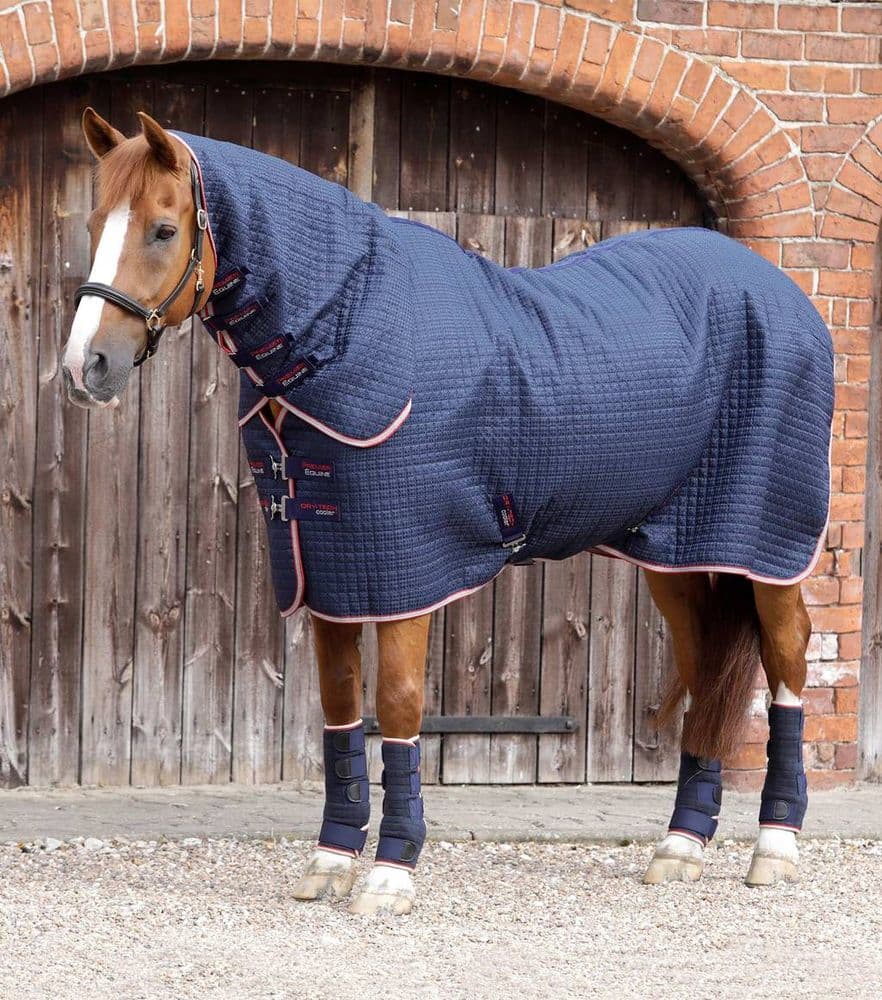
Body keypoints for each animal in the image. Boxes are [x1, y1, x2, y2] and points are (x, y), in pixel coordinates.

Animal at [61, 108, 833, 915]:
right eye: (95, 221)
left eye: (162, 229)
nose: (85, 367)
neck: (344, 329)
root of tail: (783, 294)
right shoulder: (331, 565)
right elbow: (340, 707)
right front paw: (331, 860)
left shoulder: (405, 566)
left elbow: (399, 706)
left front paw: (391, 872)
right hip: (677, 553)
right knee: (705, 664)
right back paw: (681, 846)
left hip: (767, 544)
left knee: (787, 660)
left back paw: (775, 847)